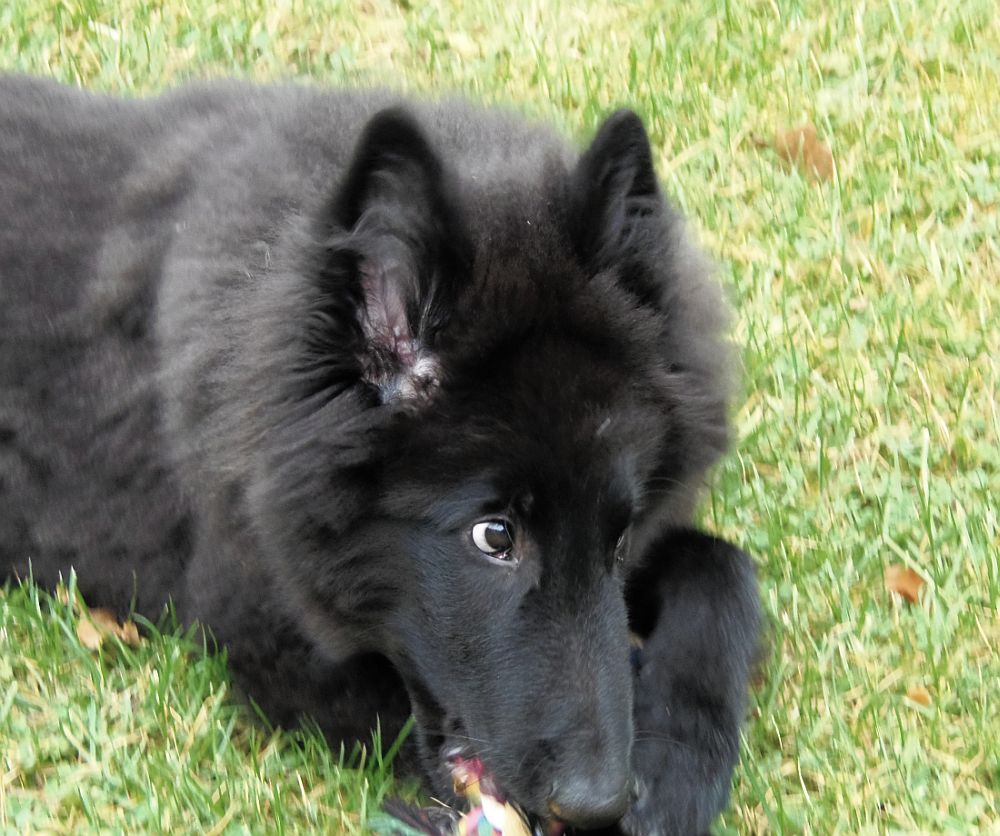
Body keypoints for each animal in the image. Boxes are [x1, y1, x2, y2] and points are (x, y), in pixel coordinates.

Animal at [0, 75, 759, 833]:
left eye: (621, 535)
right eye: (495, 536)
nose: (598, 803)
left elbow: (723, 563)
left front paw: (680, 761)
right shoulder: (264, 632)